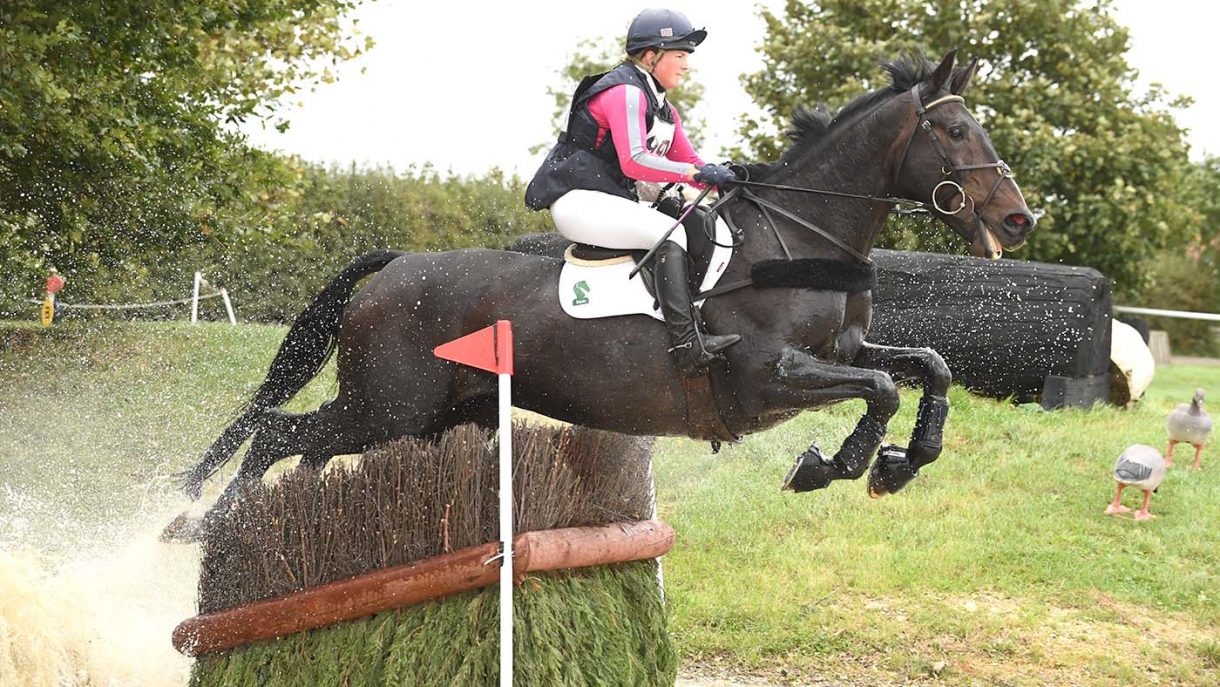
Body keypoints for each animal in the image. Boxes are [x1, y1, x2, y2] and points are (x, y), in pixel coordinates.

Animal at [178, 51, 1036, 517]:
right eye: (955, 131)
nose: (1020, 219)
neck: (803, 234)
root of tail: (394, 266)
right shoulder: (768, 375)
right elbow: (882, 389)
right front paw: (832, 465)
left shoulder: (848, 348)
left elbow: (929, 367)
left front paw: (898, 464)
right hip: (389, 404)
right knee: (280, 432)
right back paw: (200, 531)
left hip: (423, 418)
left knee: (302, 446)